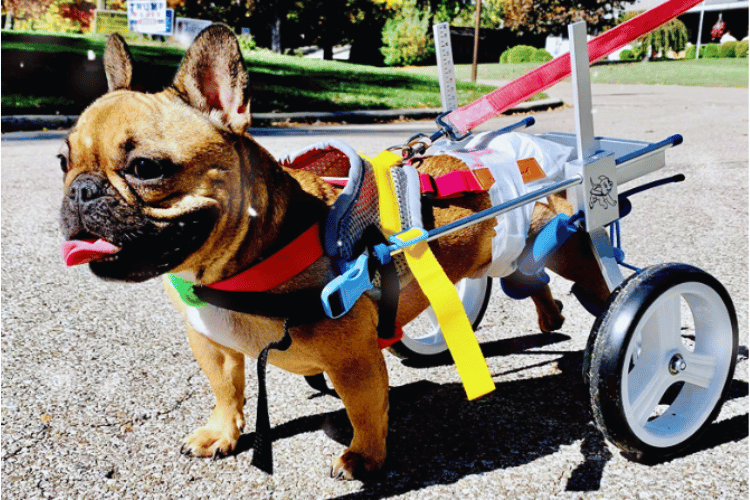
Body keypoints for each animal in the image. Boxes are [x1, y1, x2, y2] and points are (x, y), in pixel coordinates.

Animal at [58, 24, 612, 480]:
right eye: (63, 160)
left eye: (146, 168)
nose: (80, 190)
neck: (242, 263)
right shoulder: (211, 344)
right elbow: (227, 389)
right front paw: (222, 433)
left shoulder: (354, 360)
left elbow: (364, 409)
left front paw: (363, 457)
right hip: (509, 251)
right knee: (531, 277)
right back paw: (550, 315)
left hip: (560, 243)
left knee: (588, 277)